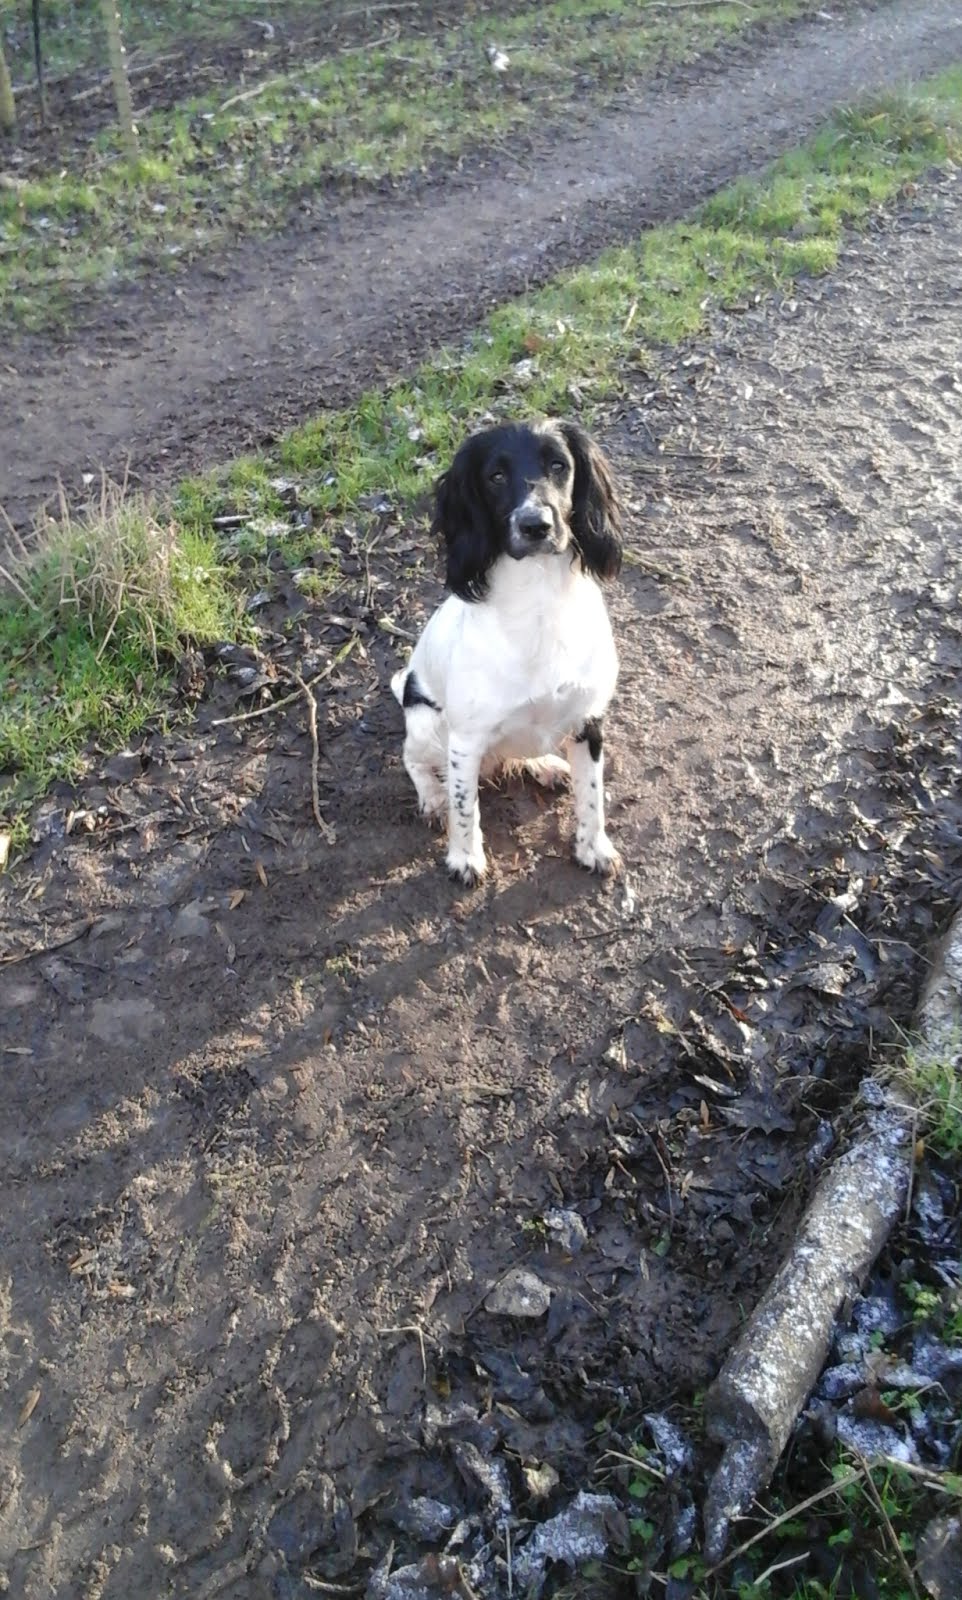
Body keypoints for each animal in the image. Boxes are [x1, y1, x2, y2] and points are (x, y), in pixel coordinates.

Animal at [390, 416, 624, 889]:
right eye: (495, 477)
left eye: (558, 465)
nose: (536, 524)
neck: (538, 601)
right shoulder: (464, 741)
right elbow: (465, 809)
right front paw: (464, 858)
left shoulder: (589, 720)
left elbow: (592, 798)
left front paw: (593, 848)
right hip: (427, 724)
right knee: (413, 760)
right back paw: (433, 797)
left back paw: (547, 764)